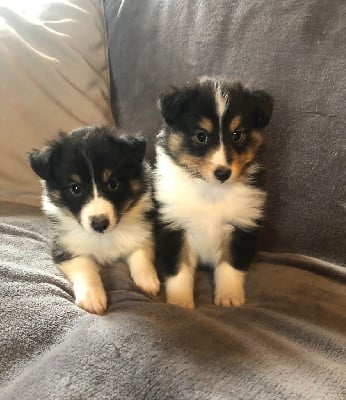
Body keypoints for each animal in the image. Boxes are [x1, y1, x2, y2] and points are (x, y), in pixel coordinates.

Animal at [29, 126, 159, 314]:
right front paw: (92, 297)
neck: (104, 237)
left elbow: (141, 253)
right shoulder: (64, 245)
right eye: (76, 188)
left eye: (113, 184)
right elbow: (84, 266)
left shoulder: (143, 230)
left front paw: (148, 280)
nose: (99, 224)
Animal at [154, 78, 274, 310]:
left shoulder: (242, 225)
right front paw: (180, 301)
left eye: (237, 135)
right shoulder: (174, 225)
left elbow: (230, 265)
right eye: (201, 136)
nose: (223, 173)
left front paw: (229, 297)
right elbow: (179, 269)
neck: (211, 190)